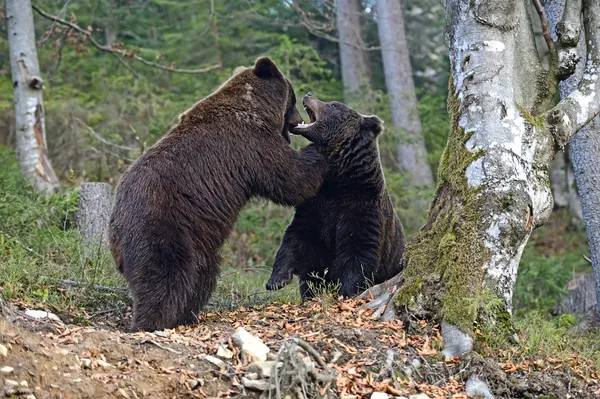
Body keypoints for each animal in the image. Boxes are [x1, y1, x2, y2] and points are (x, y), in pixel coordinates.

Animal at [108, 56, 328, 332]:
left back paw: (187, 314)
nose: (297, 121)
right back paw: (152, 322)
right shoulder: (252, 145)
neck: (255, 108)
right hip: (160, 227)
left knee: (201, 276)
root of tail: (114, 227)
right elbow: (291, 179)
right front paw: (319, 151)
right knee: (163, 277)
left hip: (197, 239)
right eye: (293, 98)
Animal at [264, 93, 406, 300]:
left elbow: (358, 252)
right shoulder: (316, 202)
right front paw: (277, 280)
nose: (308, 94)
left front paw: (346, 292)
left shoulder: (362, 205)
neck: (338, 178)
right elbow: (298, 237)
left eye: (333, 105)